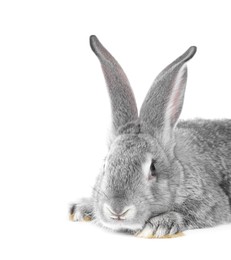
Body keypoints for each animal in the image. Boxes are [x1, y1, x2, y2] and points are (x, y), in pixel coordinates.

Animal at [70, 35, 231, 238]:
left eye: (153, 168)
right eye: (105, 164)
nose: (117, 210)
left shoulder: (211, 203)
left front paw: (157, 225)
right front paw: (82, 208)